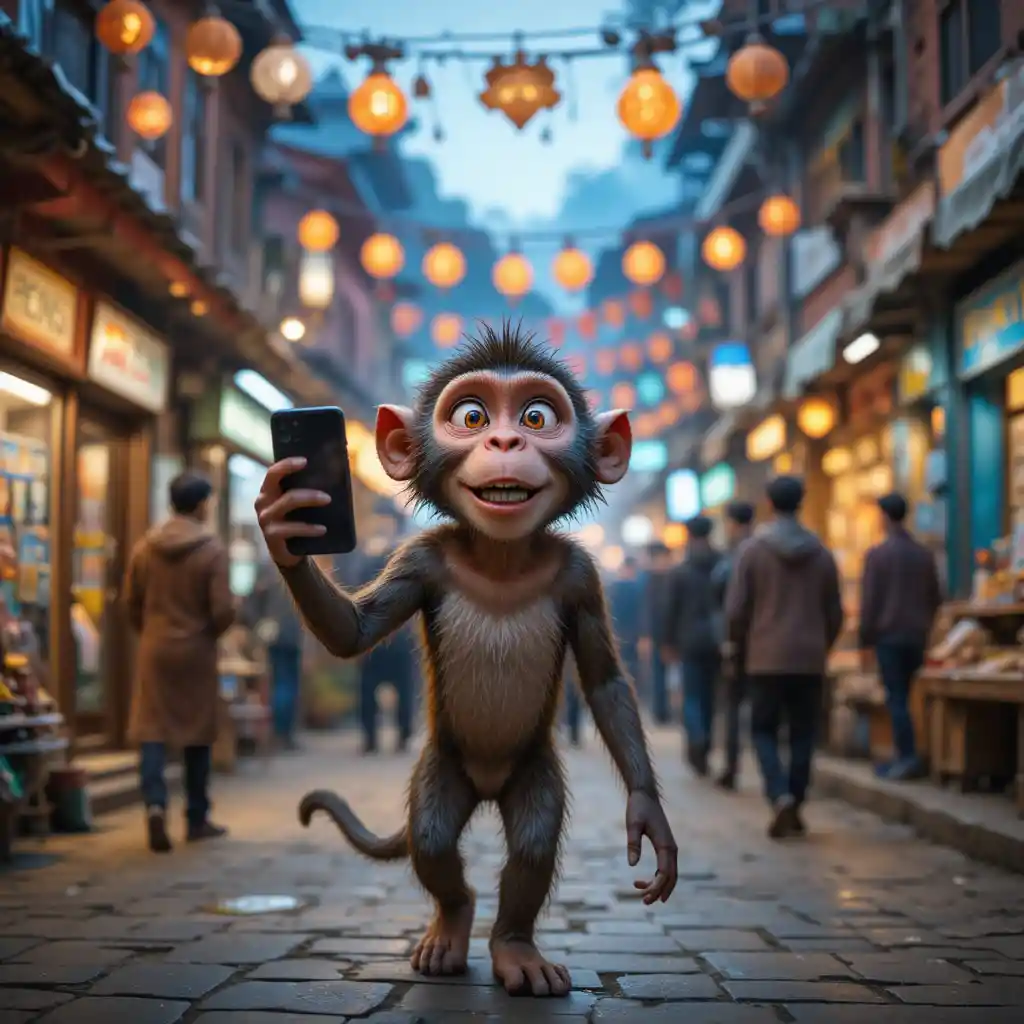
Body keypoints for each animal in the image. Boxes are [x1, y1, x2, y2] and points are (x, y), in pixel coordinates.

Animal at [254, 321, 678, 998]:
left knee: (531, 845)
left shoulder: (582, 576)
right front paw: (284, 530)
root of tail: (485, 781)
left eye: (537, 417)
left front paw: (648, 815)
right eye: (471, 416)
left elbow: (607, 682)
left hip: (531, 769)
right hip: (441, 766)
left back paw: (515, 948)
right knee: (431, 841)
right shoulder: (420, 559)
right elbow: (354, 634)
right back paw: (453, 925)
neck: (501, 557)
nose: (505, 439)